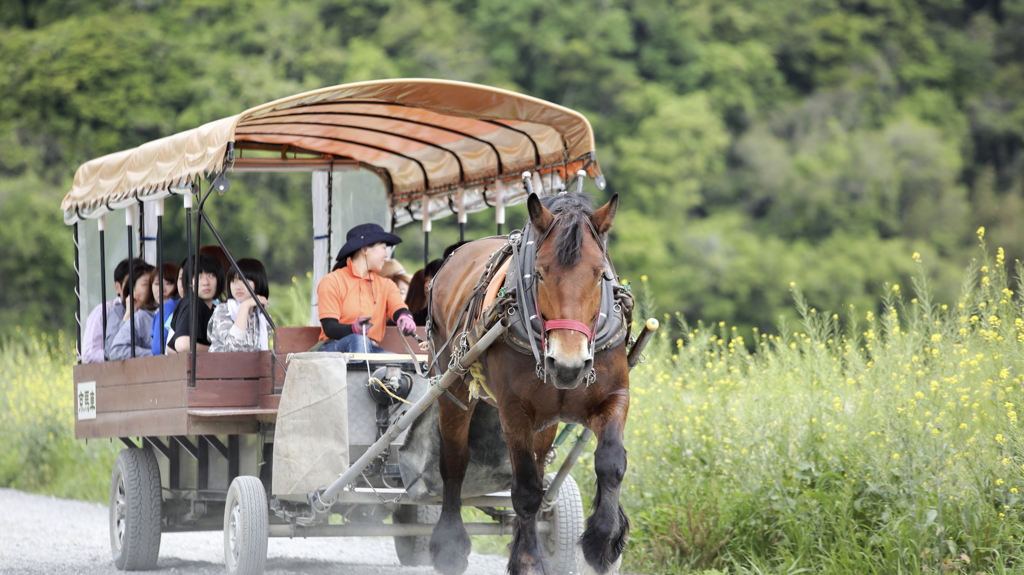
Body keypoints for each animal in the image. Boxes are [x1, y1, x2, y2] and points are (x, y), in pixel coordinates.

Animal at [425, 192, 630, 572]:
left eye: (600, 276)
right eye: (540, 274)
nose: (568, 364)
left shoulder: (614, 396)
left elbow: (610, 463)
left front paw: (603, 541)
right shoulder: (514, 410)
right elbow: (525, 490)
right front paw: (530, 560)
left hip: (546, 418)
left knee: (538, 462)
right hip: (453, 385)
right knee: (454, 461)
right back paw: (449, 544)